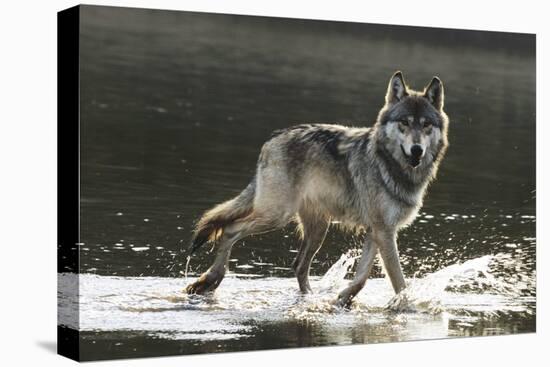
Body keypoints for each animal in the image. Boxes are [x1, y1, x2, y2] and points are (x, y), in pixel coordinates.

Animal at [184, 72, 448, 308]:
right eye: (404, 123)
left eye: (426, 125)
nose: (417, 150)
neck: (391, 166)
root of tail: (272, 140)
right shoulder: (384, 232)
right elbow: (399, 282)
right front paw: (409, 308)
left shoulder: (378, 230)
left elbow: (362, 278)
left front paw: (343, 297)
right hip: (277, 216)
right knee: (230, 229)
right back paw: (210, 280)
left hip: (317, 229)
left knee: (299, 265)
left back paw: (308, 297)